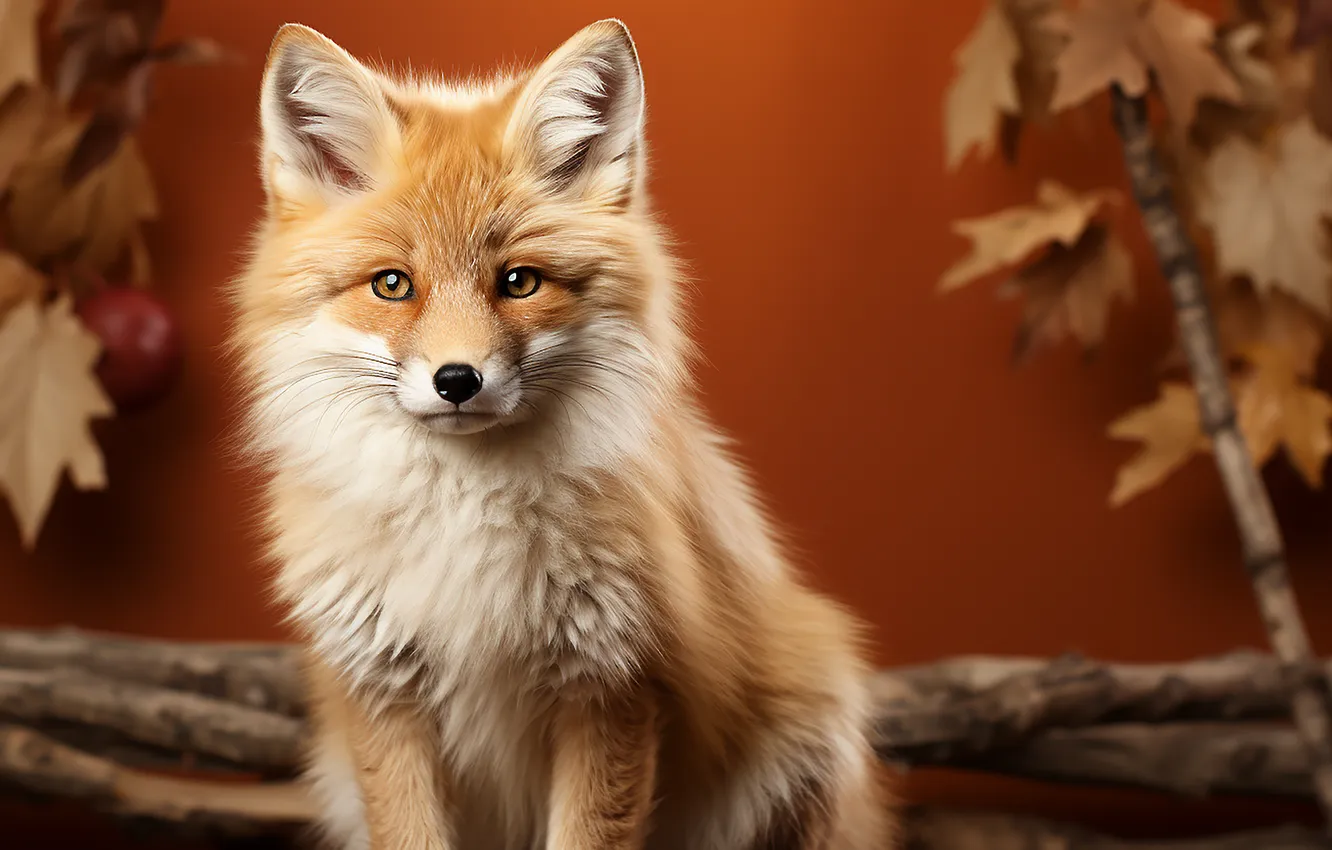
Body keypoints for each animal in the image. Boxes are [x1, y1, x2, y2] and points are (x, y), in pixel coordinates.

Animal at [228, 17, 896, 850]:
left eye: (519, 282)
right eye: (392, 285)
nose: (458, 380)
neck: (463, 526)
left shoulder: (613, 687)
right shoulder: (382, 689)